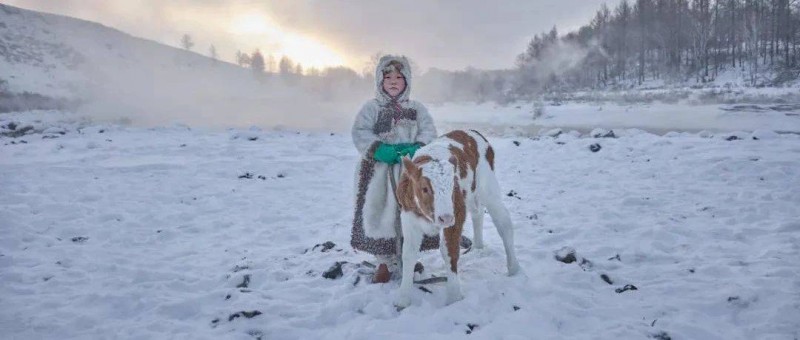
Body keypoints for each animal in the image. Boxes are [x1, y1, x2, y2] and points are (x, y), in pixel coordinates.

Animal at [394, 129, 520, 306]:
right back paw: (477, 247)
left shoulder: (456, 214)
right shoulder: (408, 216)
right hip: (472, 195)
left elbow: (449, 251)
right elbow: (408, 253)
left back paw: (514, 269)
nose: (445, 218)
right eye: (424, 188)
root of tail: (472, 132)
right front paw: (403, 299)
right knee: (477, 213)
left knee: (504, 224)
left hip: (488, 187)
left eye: (453, 187)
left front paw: (453, 297)